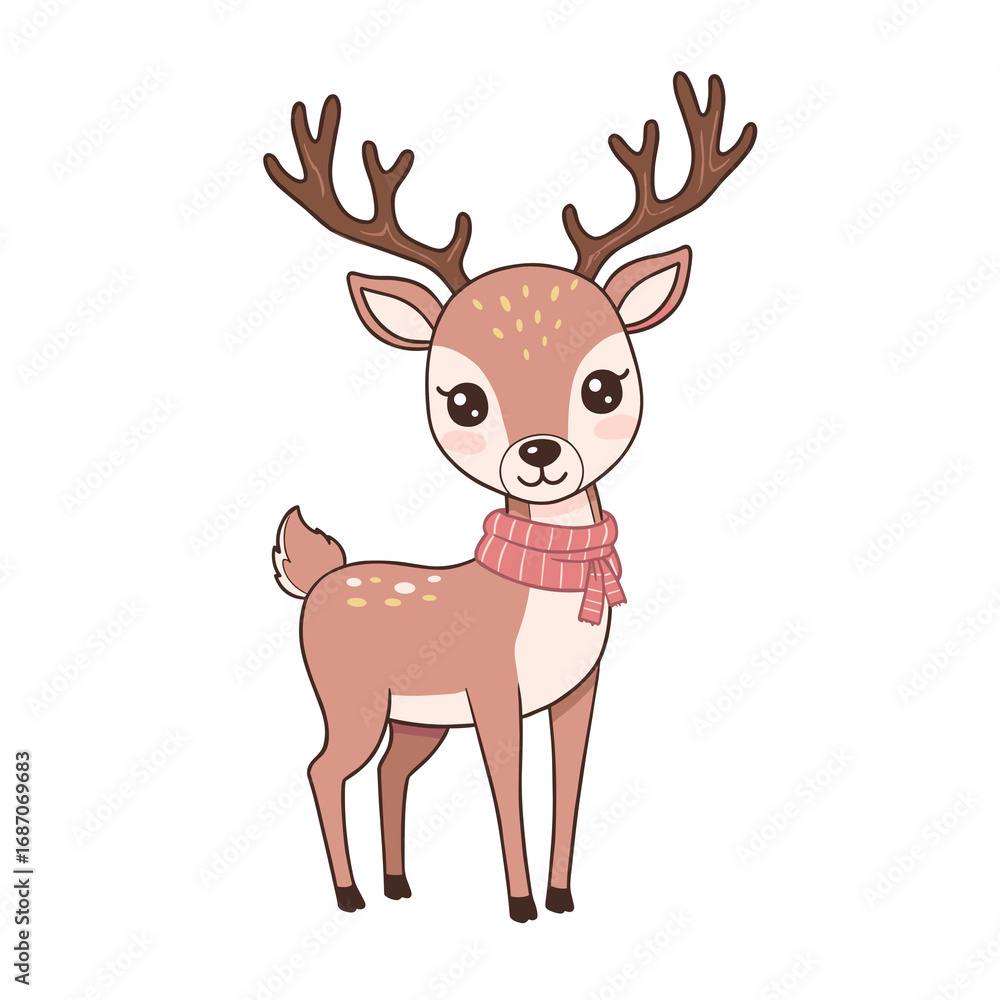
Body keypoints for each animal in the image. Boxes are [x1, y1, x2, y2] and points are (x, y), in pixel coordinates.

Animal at [264, 72, 755, 922]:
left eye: (603, 385)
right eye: (463, 400)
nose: (540, 455)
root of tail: (316, 577)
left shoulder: (579, 691)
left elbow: (569, 788)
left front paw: (561, 896)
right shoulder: (492, 687)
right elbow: (508, 791)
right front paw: (521, 904)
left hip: (415, 718)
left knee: (390, 772)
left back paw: (399, 886)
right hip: (350, 697)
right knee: (323, 769)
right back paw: (351, 895)